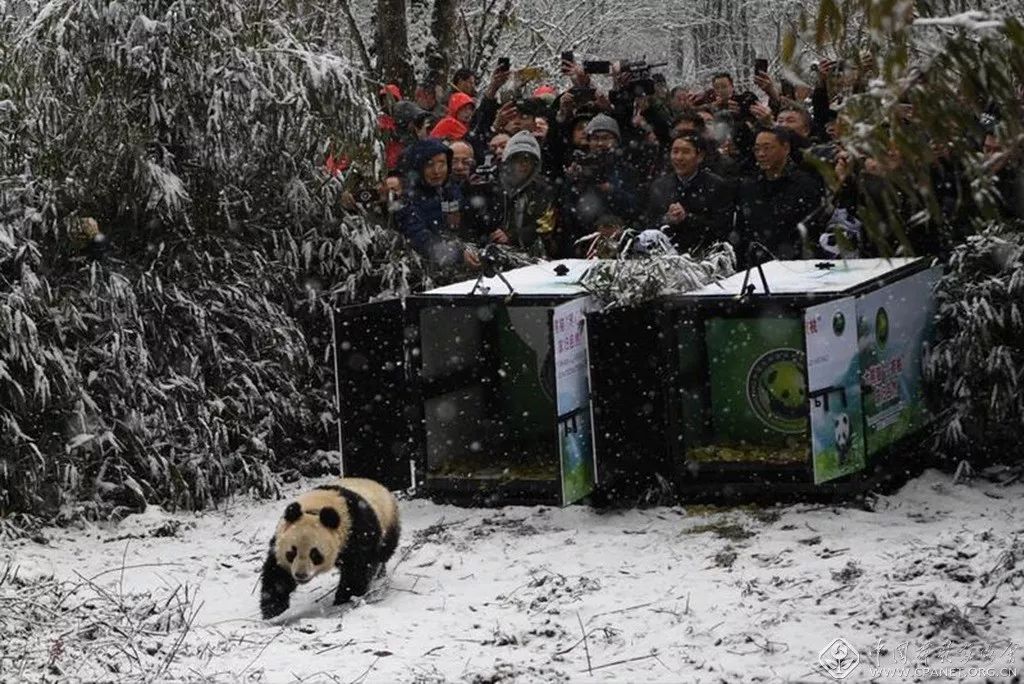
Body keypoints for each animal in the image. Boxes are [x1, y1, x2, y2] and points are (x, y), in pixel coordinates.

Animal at [260, 475, 399, 618]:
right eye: (291, 553)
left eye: (315, 554)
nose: (301, 575)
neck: (316, 511)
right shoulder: (281, 535)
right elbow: (277, 570)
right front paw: (272, 607)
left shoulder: (358, 531)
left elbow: (359, 566)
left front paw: (345, 597)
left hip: (388, 523)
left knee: (383, 552)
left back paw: (379, 572)